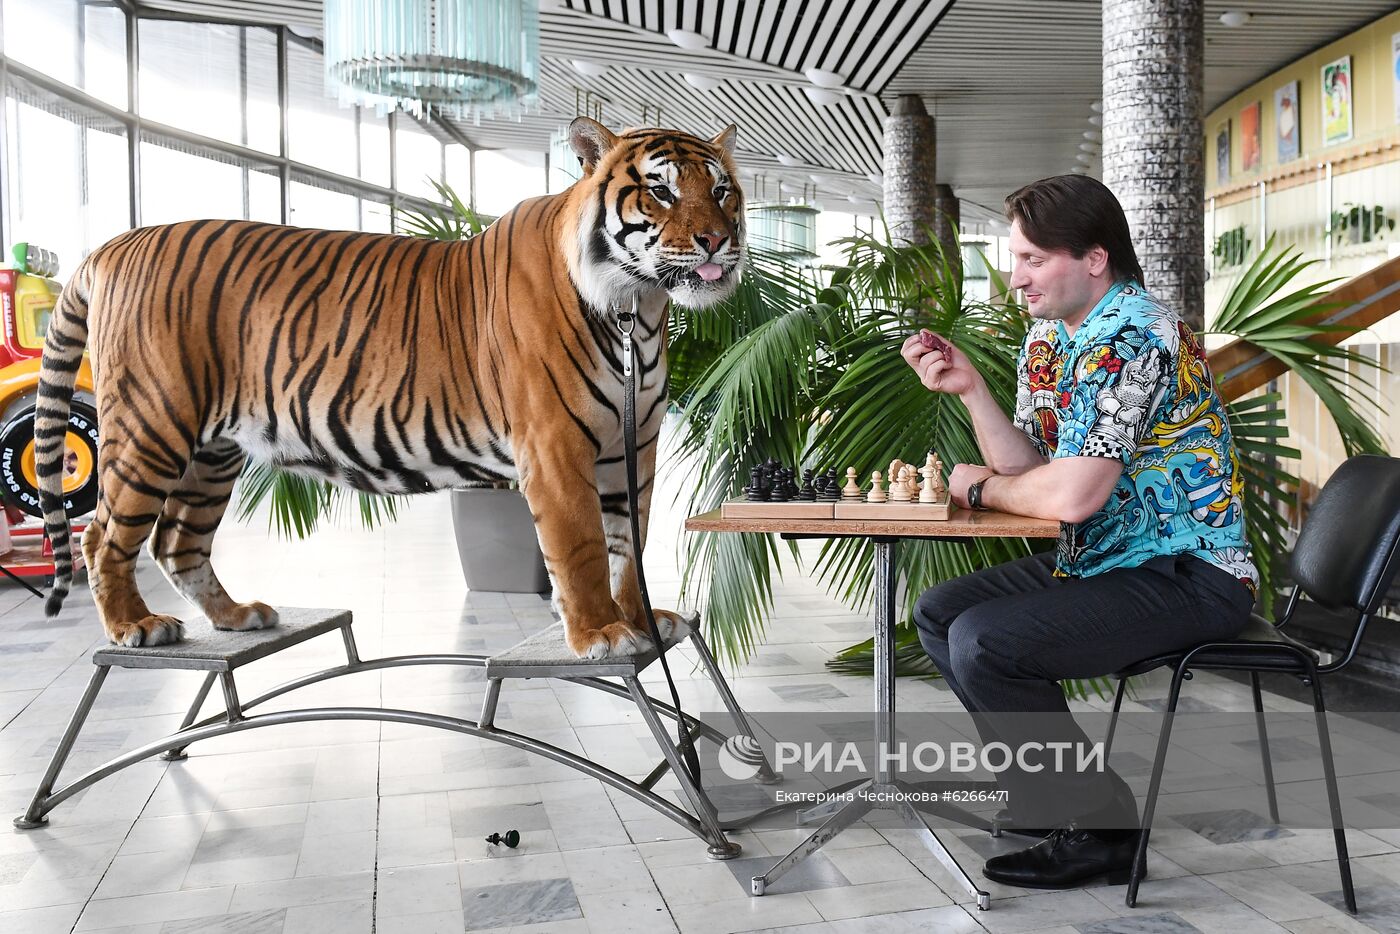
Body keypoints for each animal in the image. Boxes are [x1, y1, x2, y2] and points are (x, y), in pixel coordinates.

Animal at [35, 116, 744, 658]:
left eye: (723, 190)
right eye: (659, 190)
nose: (720, 239)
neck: (637, 310)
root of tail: (112, 246)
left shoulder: (634, 446)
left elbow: (631, 544)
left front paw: (645, 621)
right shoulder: (555, 448)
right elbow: (582, 546)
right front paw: (602, 632)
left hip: (213, 450)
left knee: (177, 539)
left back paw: (237, 617)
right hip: (152, 428)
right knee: (104, 536)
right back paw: (135, 626)